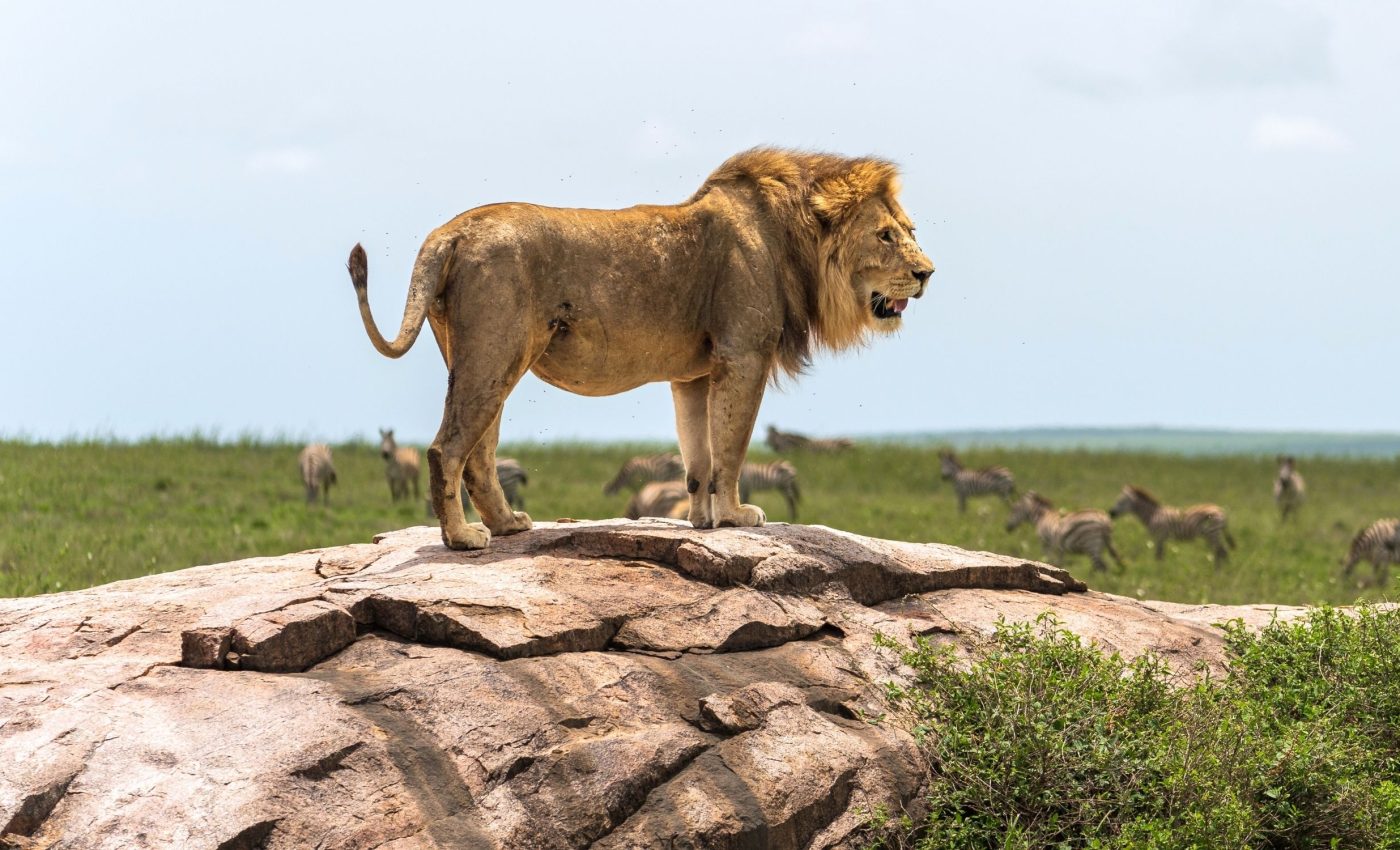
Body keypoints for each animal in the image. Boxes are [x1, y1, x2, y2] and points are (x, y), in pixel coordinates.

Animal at [348, 147, 934, 550]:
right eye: (885, 235)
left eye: (910, 229)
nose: (927, 273)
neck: (794, 239)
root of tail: (450, 231)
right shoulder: (743, 356)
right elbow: (732, 447)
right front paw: (737, 516)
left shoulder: (694, 374)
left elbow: (699, 453)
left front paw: (703, 520)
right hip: (494, 353)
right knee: (447, 449)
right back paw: (462, 539)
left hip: (480, 357)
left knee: (480, 453)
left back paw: (509, 524)